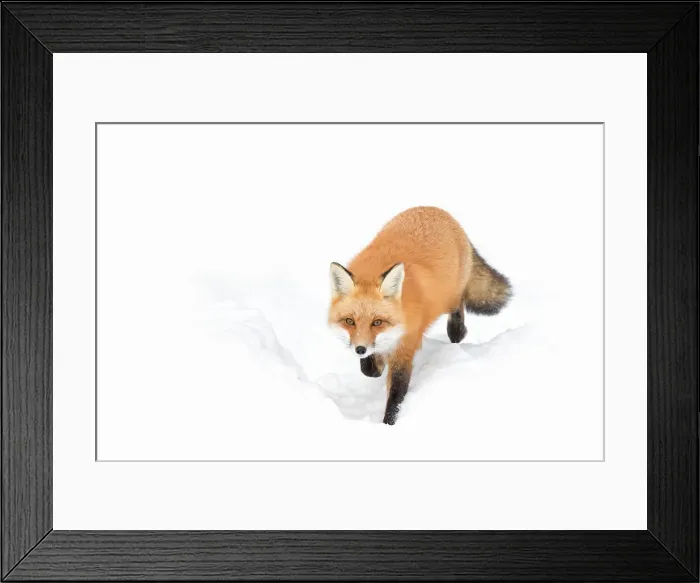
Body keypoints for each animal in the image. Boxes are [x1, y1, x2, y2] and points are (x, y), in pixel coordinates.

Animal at [328, 206, 512, 425]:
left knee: (459, 304)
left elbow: (396, 395)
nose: (360, 349)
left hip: (448, 297)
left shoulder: (406, 349)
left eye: (377, 322)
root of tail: (436, 209)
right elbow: (370, 369)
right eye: (349, 321)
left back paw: (457, 331)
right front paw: (376, 363)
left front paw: (388, 424)